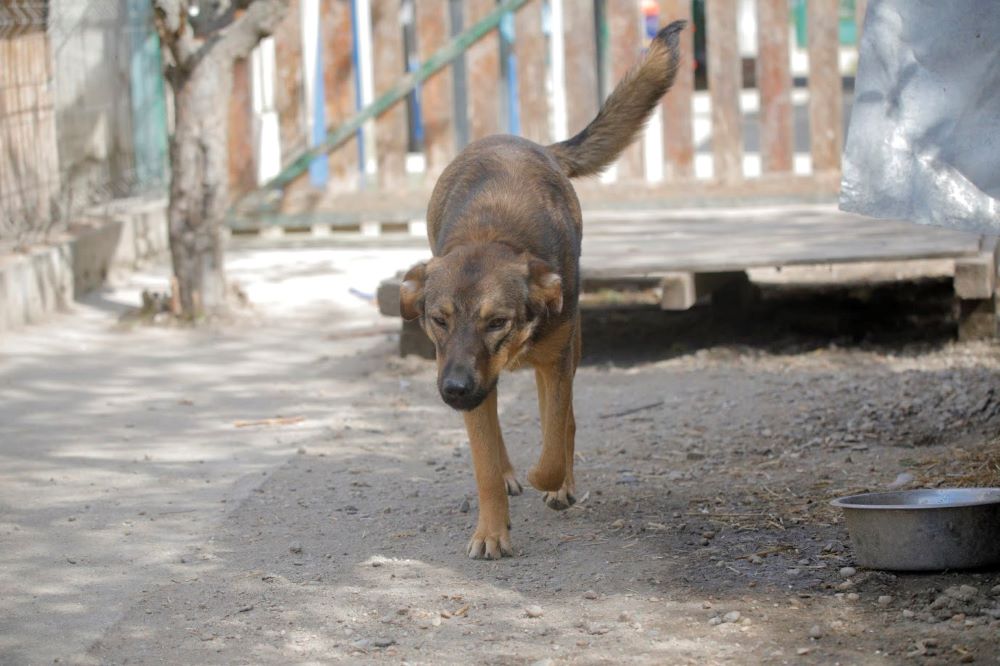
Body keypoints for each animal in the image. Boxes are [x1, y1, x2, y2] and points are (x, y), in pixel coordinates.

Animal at [400, 20, 688, 556]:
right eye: (438, 319)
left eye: (498, 321)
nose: (454, 391)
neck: (491, 233)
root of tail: (528, 142)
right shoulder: (473, 377)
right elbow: (486, 463)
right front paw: (492, 530)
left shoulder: (555, 359)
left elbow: (556, 441)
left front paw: (548, 480)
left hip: (565, 349)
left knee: (562, 419)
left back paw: (555, 483)